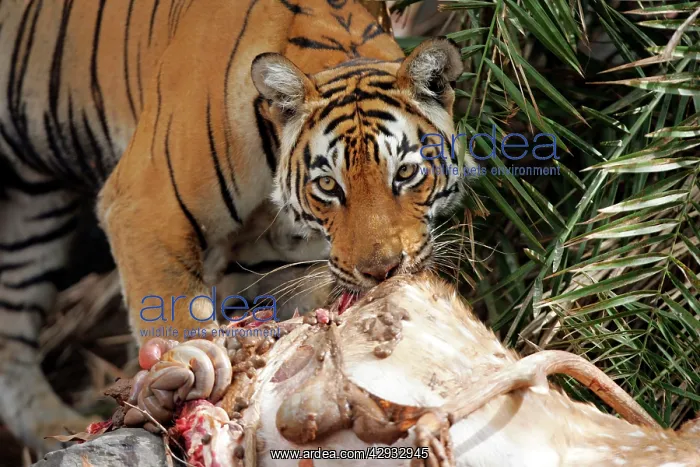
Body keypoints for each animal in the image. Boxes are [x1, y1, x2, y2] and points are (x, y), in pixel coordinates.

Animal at [0, 0, 474, 455]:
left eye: (405, 173)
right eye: (328, 185)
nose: (382, 272)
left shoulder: (286, 264)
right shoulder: (144, 209)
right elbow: (176, 315)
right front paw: (185, 383)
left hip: (30, 219)